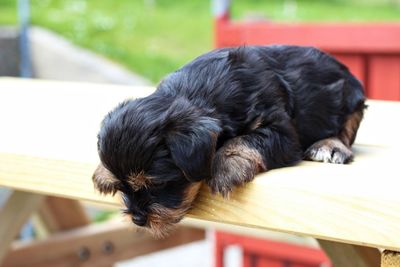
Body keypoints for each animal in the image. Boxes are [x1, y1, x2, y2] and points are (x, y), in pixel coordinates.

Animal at [91, 45, 366, 238]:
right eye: (122, 186)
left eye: (157, 185)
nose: (137, 219)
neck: (198, 91)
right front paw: (103, 172)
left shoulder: (282, 133)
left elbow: (245, 140)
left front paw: (226, 167)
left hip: (352, 99)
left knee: (346, 131)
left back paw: (330, 145)